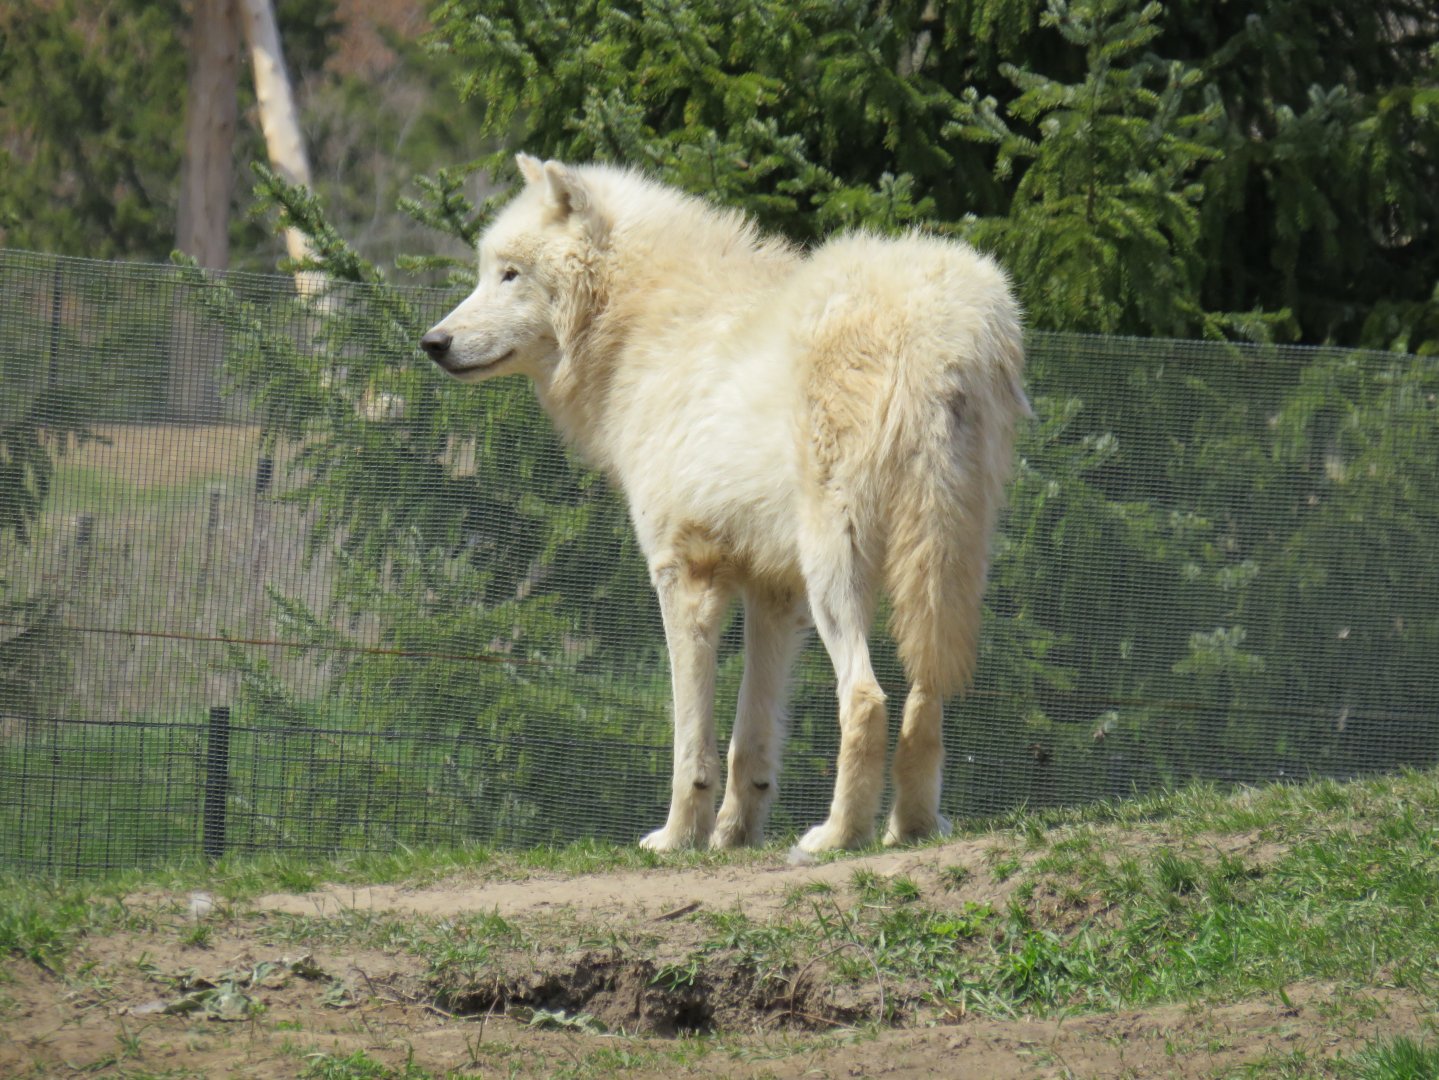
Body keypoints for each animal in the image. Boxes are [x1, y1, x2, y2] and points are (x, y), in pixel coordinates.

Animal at [421, 154, 1028, 853]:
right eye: (485, 271)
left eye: (509, 274)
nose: (432, 342)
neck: (643, 331)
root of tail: (942, 332)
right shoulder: (773, 592)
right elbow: (750, 742)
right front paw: (734, 838)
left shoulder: (684, 574)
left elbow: (692, 742)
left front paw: (678, 837)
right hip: (947, 565)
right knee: (925, 695)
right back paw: (912, 827)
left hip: (838, 568)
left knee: (867, 698)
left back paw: (835, 837)